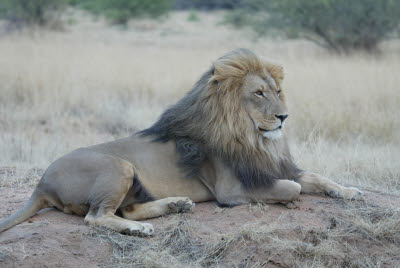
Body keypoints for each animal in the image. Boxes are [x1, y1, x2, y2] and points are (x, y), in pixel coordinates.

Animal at [0, 49, 362, 236]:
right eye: (259, 93)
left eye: (277, 91)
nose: (284, 117)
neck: (254, 137)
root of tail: (41, 183)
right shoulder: (232, 189)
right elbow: (293, 188)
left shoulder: (270, 166)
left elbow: (316, 178)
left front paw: (348, 191)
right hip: (118, 166)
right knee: (97, 216)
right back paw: (142, 230)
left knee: (126, 209)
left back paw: (177, 205)